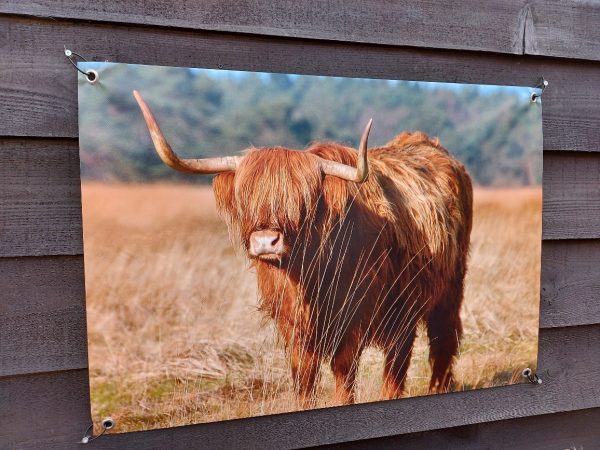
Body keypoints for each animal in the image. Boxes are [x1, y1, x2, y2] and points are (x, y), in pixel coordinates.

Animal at [132, 89, 474, 406]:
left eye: (302, 201)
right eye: (246, 198)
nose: (265, 242)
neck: (308, 274)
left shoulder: (351, 318)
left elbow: (344, 372)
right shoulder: (293, 323)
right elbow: (304, 376)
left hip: (444, 290)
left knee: (435, 344)